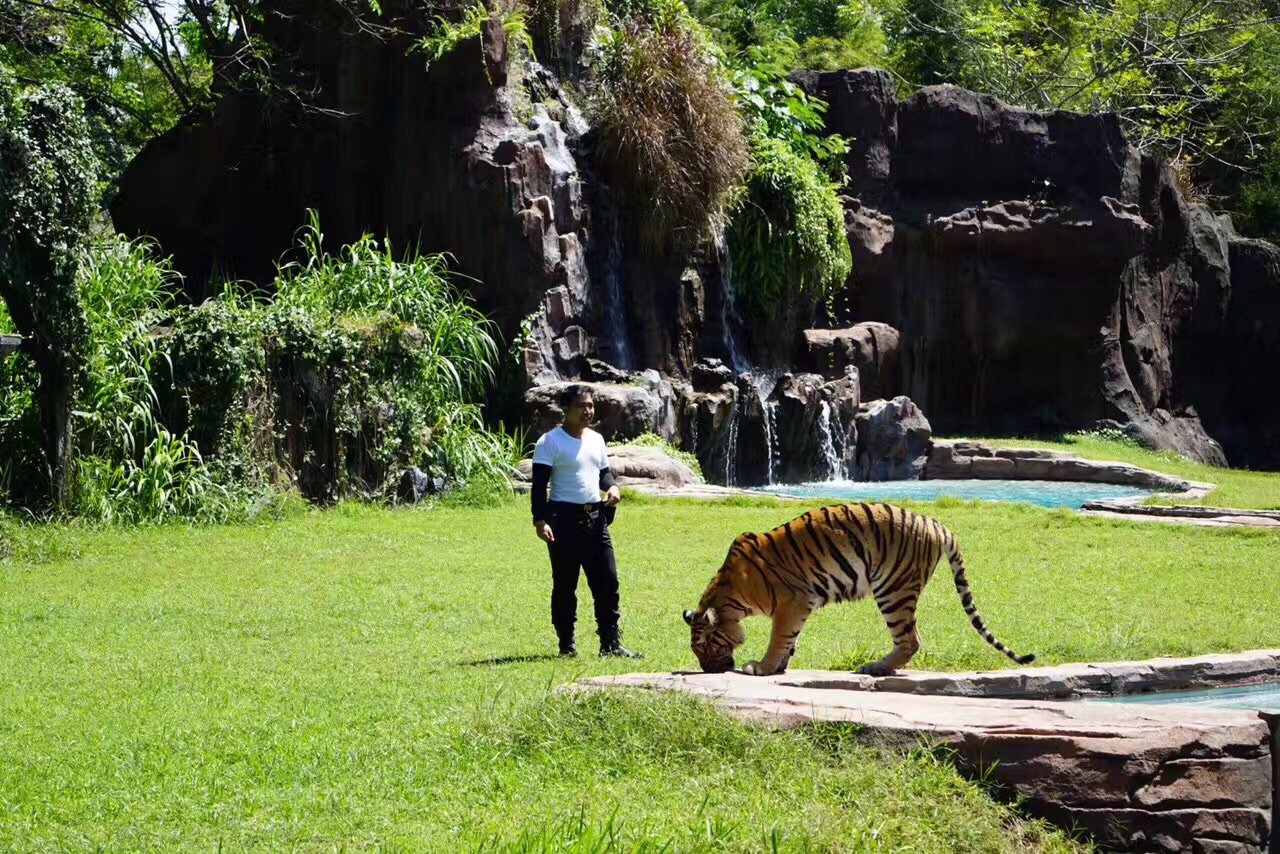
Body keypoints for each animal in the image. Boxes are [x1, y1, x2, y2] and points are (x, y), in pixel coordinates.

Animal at [680, 501, 1029, 676]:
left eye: (704, 646)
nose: (709, 671)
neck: (730, 597)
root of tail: (935, 523)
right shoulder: (801, 605)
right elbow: (792, 639)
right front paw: (779, 667)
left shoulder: (791, 602)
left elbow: (779, 637)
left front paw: (762, 667)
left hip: (893, 588)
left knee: (911, 639)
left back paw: (875, 668)